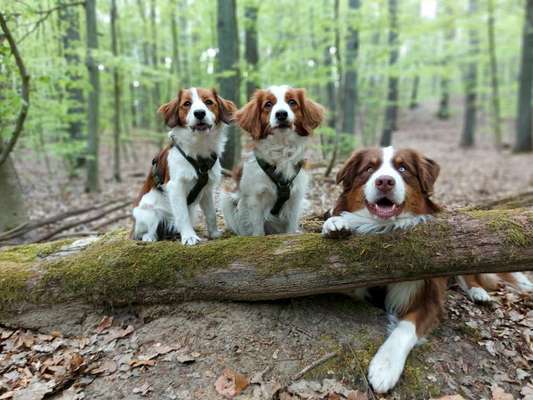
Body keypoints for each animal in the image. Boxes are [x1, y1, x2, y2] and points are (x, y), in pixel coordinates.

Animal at [131, 87, 235, 244]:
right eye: (187, 104)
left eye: (208, 102)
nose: (199, 113)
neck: (198, 147)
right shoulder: (175, 186)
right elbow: (182, 215)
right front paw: (189, 237)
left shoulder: (207, 188)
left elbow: (211, 214)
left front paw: (214, 234)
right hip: (148, 212)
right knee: (147, 230)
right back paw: (149, 237)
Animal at [221, 84, 324, 234]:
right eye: (268, 104)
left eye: (292, 102)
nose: (281, 114)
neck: (281, 148)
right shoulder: (254, 198)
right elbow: (257, 230)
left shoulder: (295, 198)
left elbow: (291, 229)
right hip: (227, 199)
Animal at [320, 145, 444, 392]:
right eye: (369, 168)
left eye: (403, 168)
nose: (385, 181)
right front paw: (334, 224)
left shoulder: (429, 298)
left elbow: (406, 327)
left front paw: (385, 365)